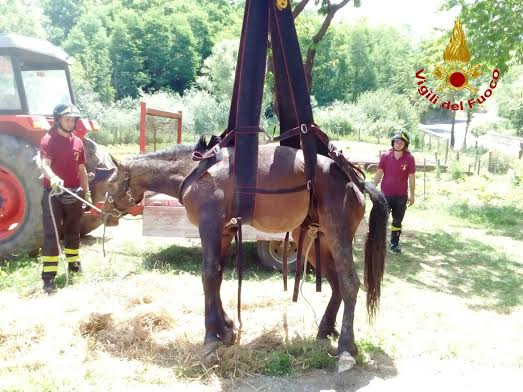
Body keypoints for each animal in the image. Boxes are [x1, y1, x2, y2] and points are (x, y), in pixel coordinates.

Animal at [103, 137, 388, 370]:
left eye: (110, 181)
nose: (107, 213)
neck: (195, 171)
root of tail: (356, 180)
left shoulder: (210, 225)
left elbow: (208, 274)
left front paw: (211, 337)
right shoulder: (225, 232)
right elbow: (216, 276)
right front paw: (227, 329)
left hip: (338, 236)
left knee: (350, 284)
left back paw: (346, 348)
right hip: (316, 241)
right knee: (336, 283)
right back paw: (325, 330)